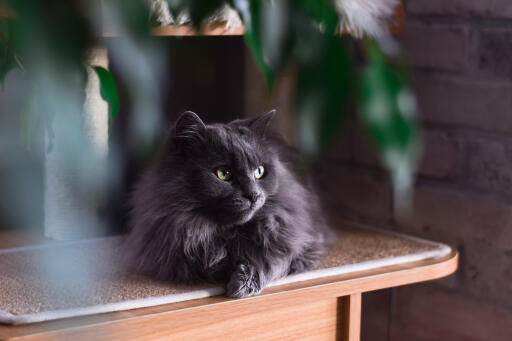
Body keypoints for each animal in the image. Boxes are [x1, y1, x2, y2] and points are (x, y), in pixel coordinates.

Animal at [124, 110, 328, 296]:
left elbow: (271, 260)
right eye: (223, 173)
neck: (223, 232)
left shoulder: (296, 241)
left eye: (259, 171)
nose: (253, 195)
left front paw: (242, 285)